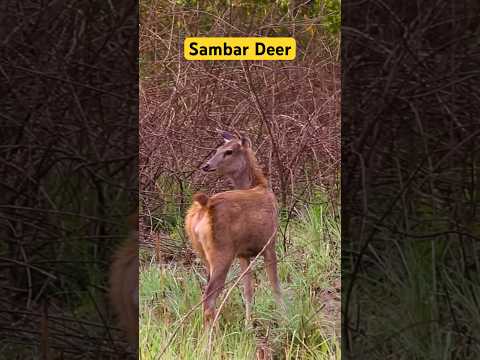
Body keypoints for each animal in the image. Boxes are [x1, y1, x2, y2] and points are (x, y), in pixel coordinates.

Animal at [183, 131, 282, 324]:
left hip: (204, 254)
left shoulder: (243, 253)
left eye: (228, 151)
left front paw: (248, 324)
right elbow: (276, 287)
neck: (260, 185)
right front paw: (287, 319)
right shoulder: (269, 243)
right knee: (209, 299)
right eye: (217, 149)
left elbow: (248, 290)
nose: (206, 165)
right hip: (222, 252)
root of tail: (204, 206)